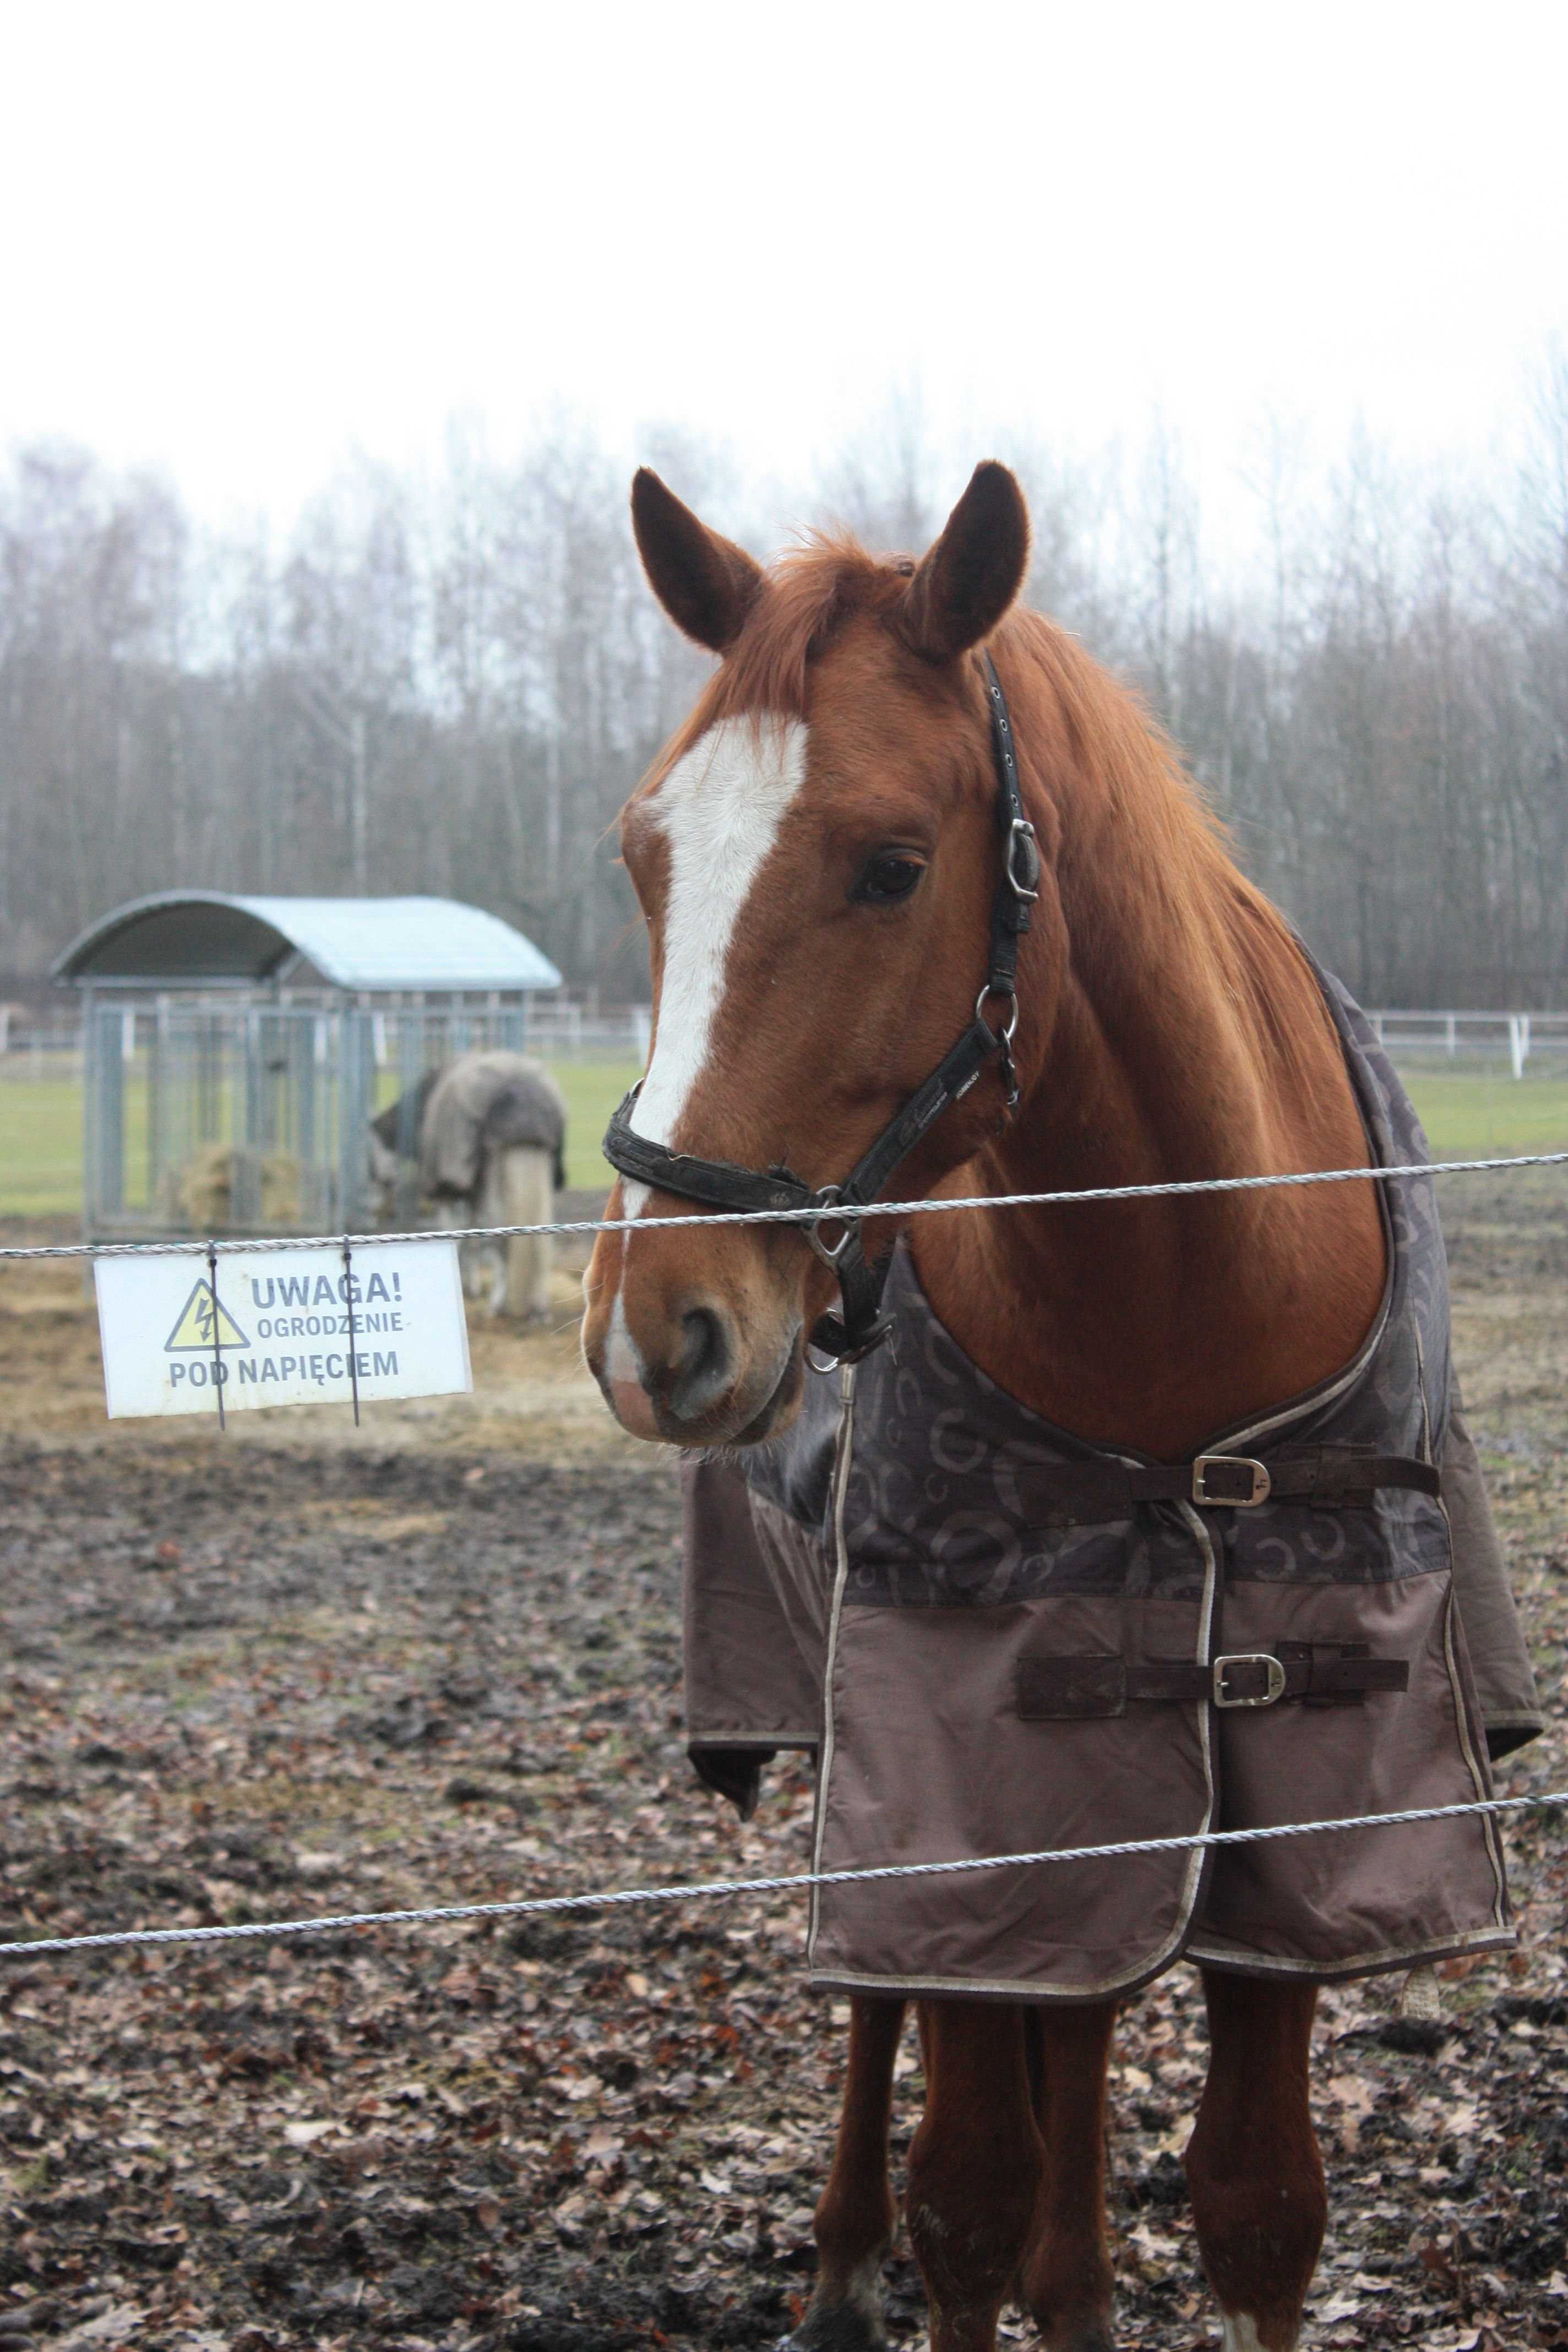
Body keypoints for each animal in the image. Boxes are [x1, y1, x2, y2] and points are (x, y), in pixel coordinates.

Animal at [580, 463, 1522, 2352]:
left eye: (889, 867)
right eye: (650, 854)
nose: (657, 1330)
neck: (1184, 1287)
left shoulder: (1297, 1789)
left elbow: (1257, 2207)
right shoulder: (957, 1776)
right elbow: (965, 2189)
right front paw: (923, 2246)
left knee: (1076, 2021)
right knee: (893, 2013)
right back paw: (841, 2258)